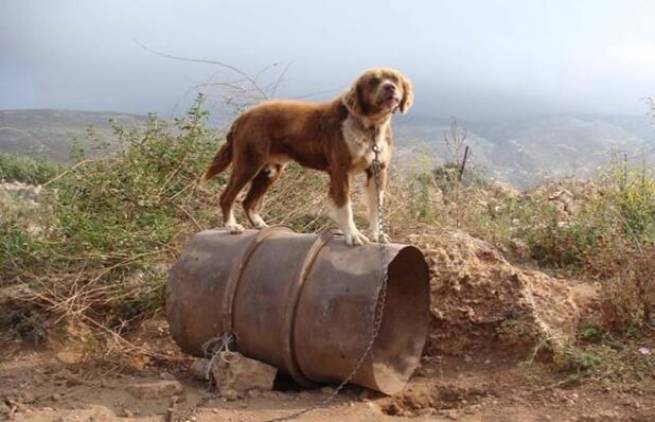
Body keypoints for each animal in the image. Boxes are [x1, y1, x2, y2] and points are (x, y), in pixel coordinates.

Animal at [202, 67, 412, 246]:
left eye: (395, 79)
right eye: (373, 80)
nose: (390, 87)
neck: (370, 126)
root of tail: (244, 116)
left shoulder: (378, 170)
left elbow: (376, 206)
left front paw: (377, 235)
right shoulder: (340, 171)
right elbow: (346, 208)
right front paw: (353, 235)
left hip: (270, 170)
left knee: (248, 202)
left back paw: (261, 225)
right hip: (248, 163)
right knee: (227, 196)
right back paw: (231, 226)